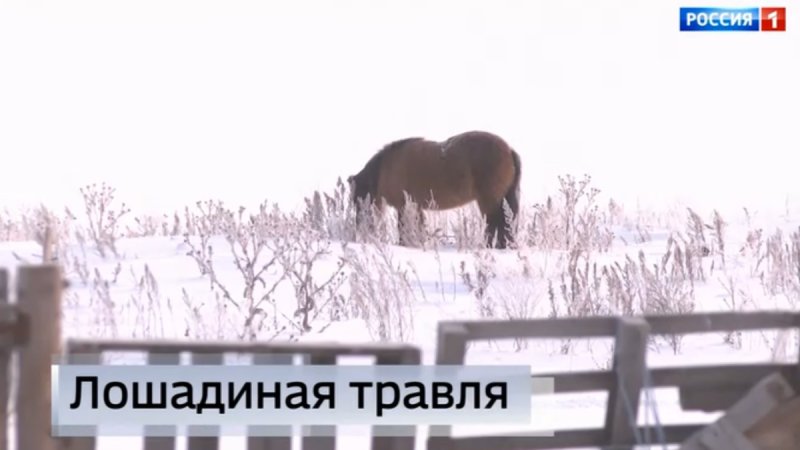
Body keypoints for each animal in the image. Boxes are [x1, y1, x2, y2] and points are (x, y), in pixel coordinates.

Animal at [347, 130, 522, 249]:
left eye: (358, 199)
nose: (361, 228)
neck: (385, 169)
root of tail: (509, 150)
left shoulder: (403, 206)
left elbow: (403, 228)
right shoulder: (415, 206)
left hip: (489, 202)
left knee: (494, 225)